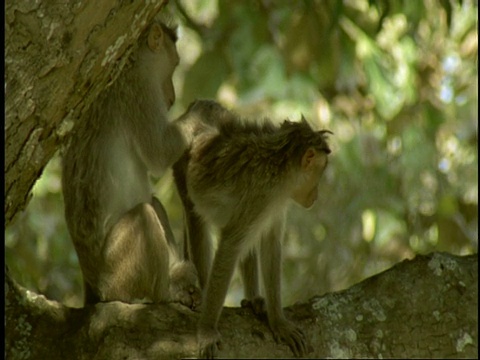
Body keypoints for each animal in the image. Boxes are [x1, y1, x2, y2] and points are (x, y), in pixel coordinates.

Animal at [61, 17, 201, 310]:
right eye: (174, 65)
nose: (171, 99)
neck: (128, 64)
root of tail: (96, 287)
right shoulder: (139, 90)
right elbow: (159, 151)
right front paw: (205, 111)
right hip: (117, 274)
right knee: (144, 216)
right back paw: (166, 292)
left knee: (153, 203)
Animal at [173, 100, 334, 358]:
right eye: (319, 174)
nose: (316, 195)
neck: (280, 169)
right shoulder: (263, 194)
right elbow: (231, 245)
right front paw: (207, 330)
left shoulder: (276, 203)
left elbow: (270, 245)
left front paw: (278, 322)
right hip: (180, 163)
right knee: (196, 216)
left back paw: (253, 300)